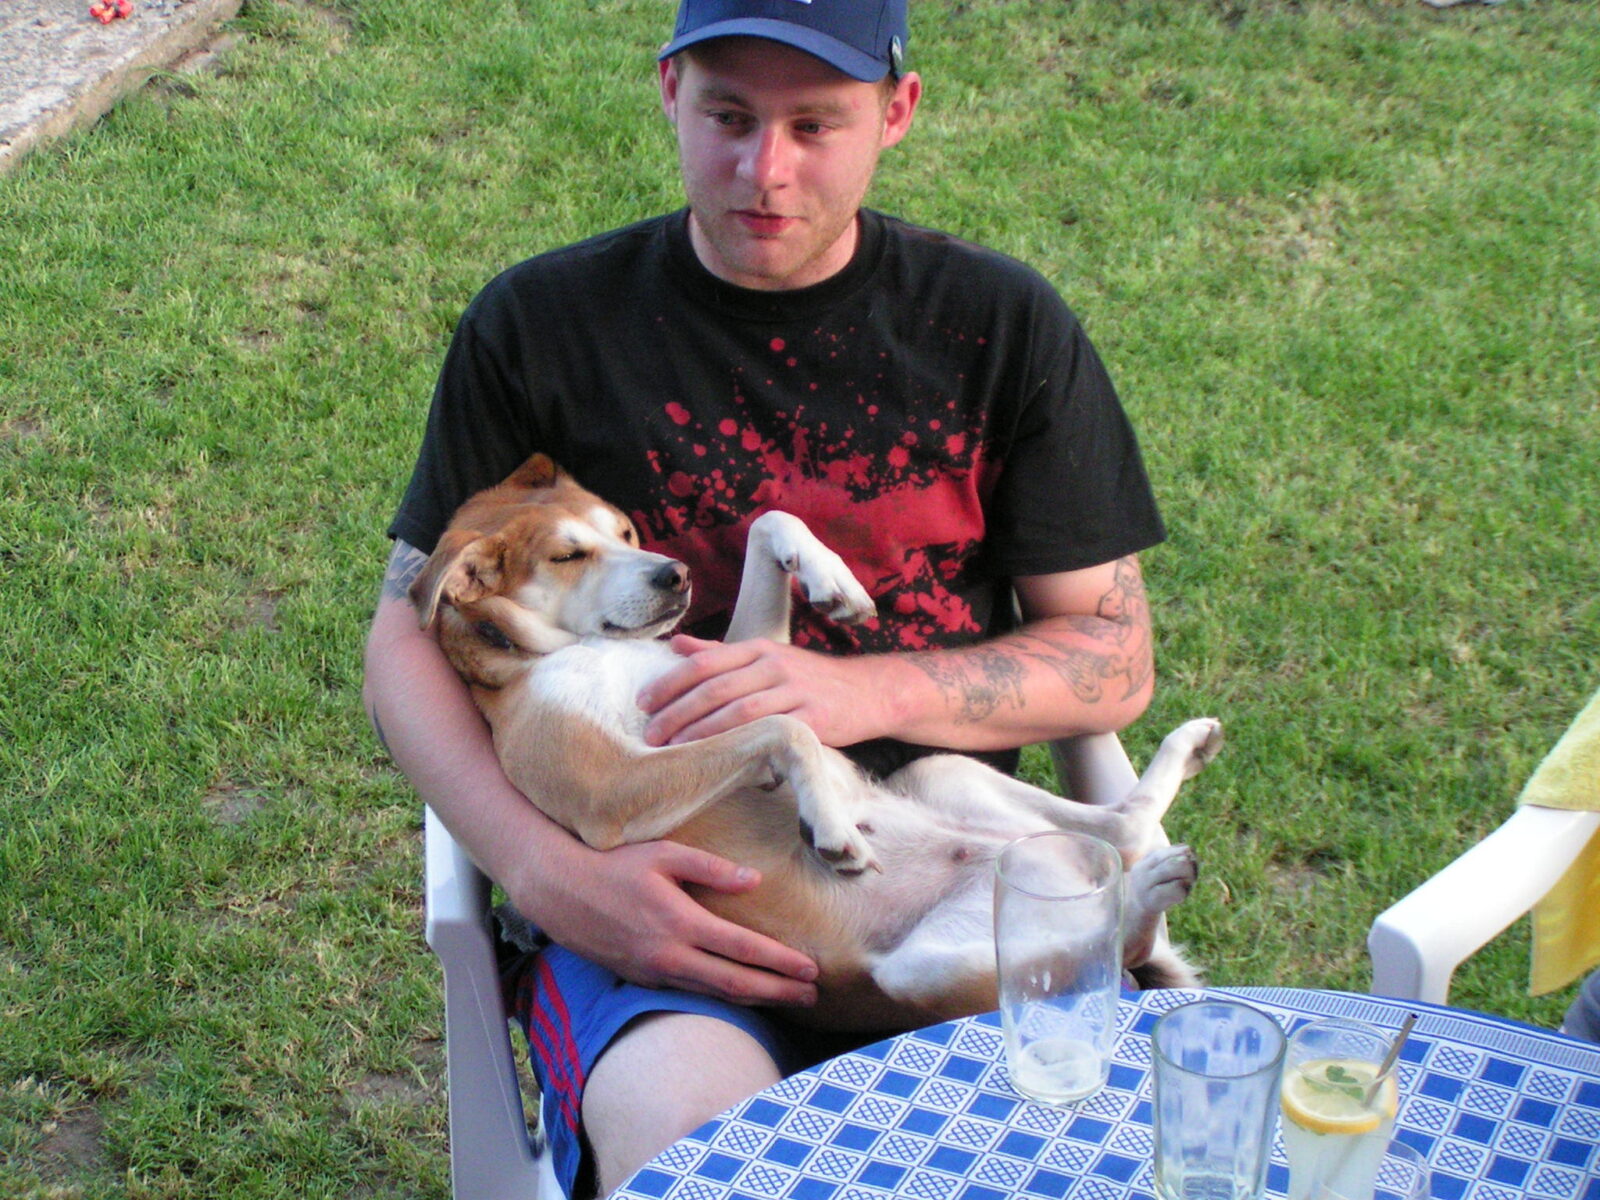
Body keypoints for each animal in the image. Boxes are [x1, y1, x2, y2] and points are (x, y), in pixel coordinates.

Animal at [411, 454, 1221, 1031]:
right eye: (566, 556)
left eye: (625, 532)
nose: (673, 575)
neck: (570, 651)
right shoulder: (607, 793)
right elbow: (785, 726)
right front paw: (831, 825)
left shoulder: (727, 663)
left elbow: (771, 523)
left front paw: (832, 580)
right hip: (928, 972)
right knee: (1123, 937)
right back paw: (1152, 886)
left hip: (944, 775)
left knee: (1125, 832)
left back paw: (1184, 761)